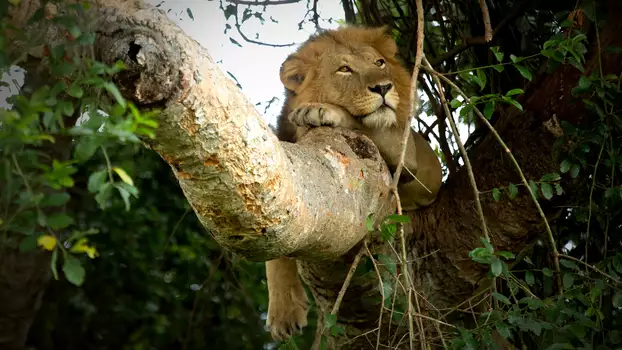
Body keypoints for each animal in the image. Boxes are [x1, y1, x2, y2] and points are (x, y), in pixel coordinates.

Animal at [266, 25, 444, 342]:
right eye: (344, 69)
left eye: (379, 63)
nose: (383, 88)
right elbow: (274, 251)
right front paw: (283, 313)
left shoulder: (406, 152)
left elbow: (360, 121)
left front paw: (320, 110)